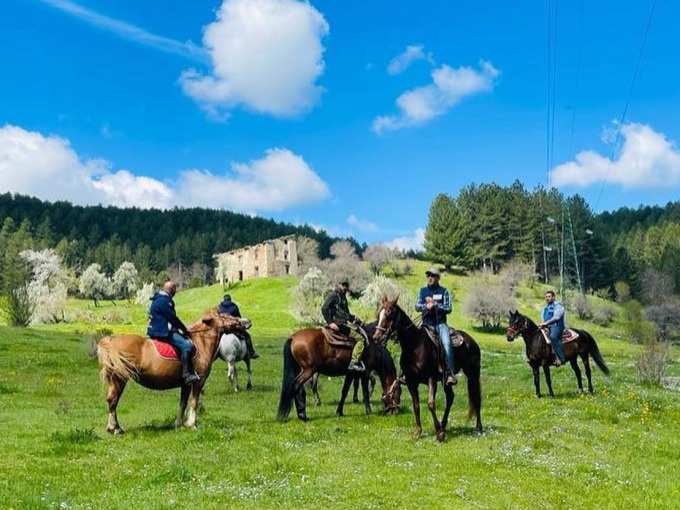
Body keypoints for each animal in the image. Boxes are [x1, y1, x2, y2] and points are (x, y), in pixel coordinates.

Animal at [97, 309, 245, 434]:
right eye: (225, 316)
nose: (245, 322)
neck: (201, 342)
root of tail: (111, 342)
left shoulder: (185, 384)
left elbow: (183, 403)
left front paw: (178, 424)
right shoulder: (199, 381)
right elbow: (194, 402)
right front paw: (192, 424)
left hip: (114, 379)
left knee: (111, 399)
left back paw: (113, 427)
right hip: (120, 378)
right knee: (113, 400)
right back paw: (115, 428)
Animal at [373, 296, 483, 441]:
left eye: (389, 314)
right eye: (378, 314)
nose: (376, 338)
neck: (414, 346)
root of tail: (472, 341)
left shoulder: (431, 379)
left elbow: (431, 404)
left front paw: (439, 434)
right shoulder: (411, 382)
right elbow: (416, 405)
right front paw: (418, 431)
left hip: (473, 374)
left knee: (476, 398)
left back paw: (478, 428)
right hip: (446, 380)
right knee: (450, 397)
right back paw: (444, 425)